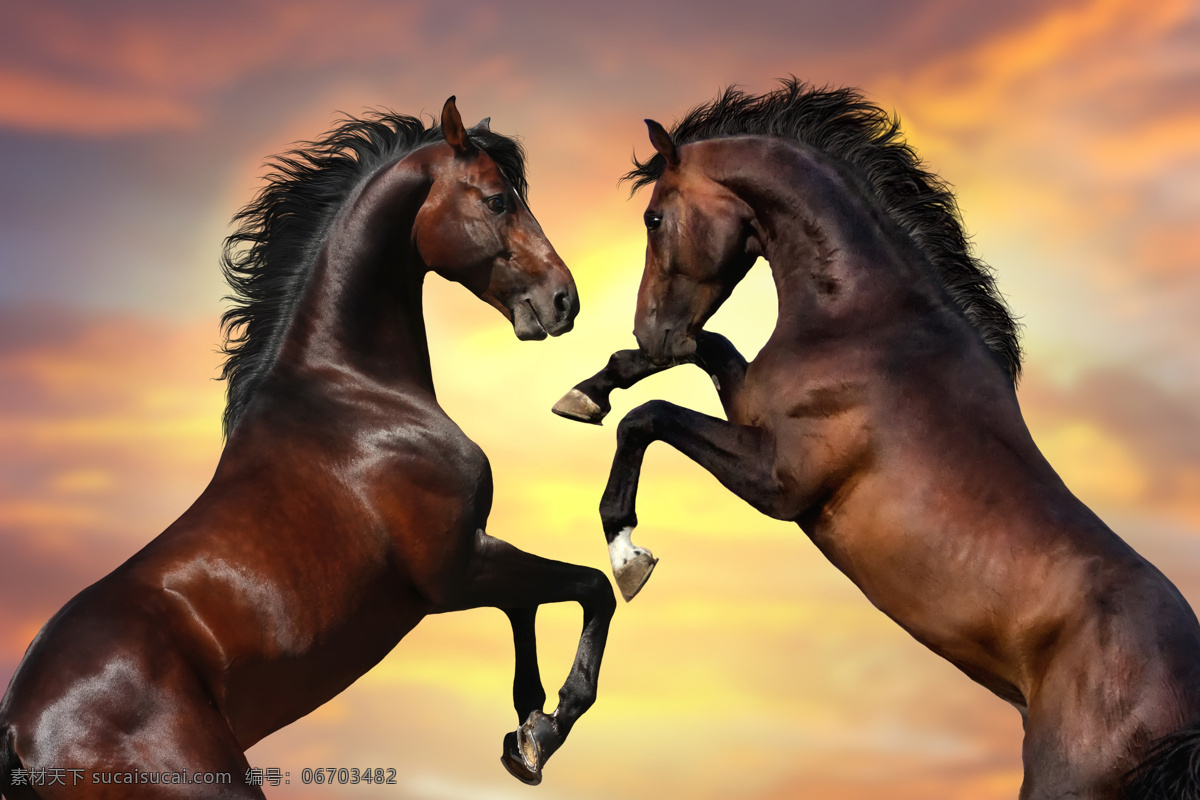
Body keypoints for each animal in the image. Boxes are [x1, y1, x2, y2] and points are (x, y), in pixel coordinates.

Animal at [0, 97, 615, 799]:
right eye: (496, 200)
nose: (564, 300)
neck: (355, 393)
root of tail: (19, 731)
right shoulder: (457, 568)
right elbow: (592, 586)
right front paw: (550, 726)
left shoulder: (475, 559)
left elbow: (531, 609)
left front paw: (527, 735)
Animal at [552, 80, 1200, 798]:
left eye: (654, 219)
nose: (649, 329)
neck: (866, 320)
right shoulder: (747, 406)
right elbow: (702, 350)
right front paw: (589, 390)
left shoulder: (778, 480)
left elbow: (649, 417)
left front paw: (627, 555)